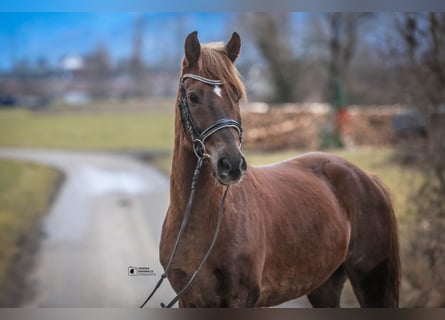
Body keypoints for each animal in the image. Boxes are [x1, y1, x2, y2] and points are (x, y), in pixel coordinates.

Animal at [159, 30, 398, 308]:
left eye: (236, 95)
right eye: (193, 97)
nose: (232, 164)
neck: (198, 223)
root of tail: (366, 177)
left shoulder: (241, 299)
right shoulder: (189, 301)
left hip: (372, 285)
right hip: (324, 286)